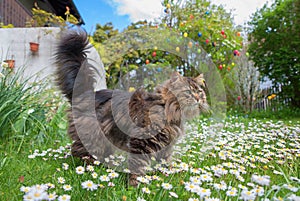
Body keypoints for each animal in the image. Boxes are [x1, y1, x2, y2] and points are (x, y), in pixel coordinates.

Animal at [54, 28, 209, 187]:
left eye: (199, 91)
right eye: (188, 92)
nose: (198, 98)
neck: (169, 111)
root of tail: (87, 93)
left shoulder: (166, 144)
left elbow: (165, 162)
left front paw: (169, 175)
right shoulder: (142, 140)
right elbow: (138, 165)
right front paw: (135, 185)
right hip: (92, 135)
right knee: (78, 150)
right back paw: (90, 168)